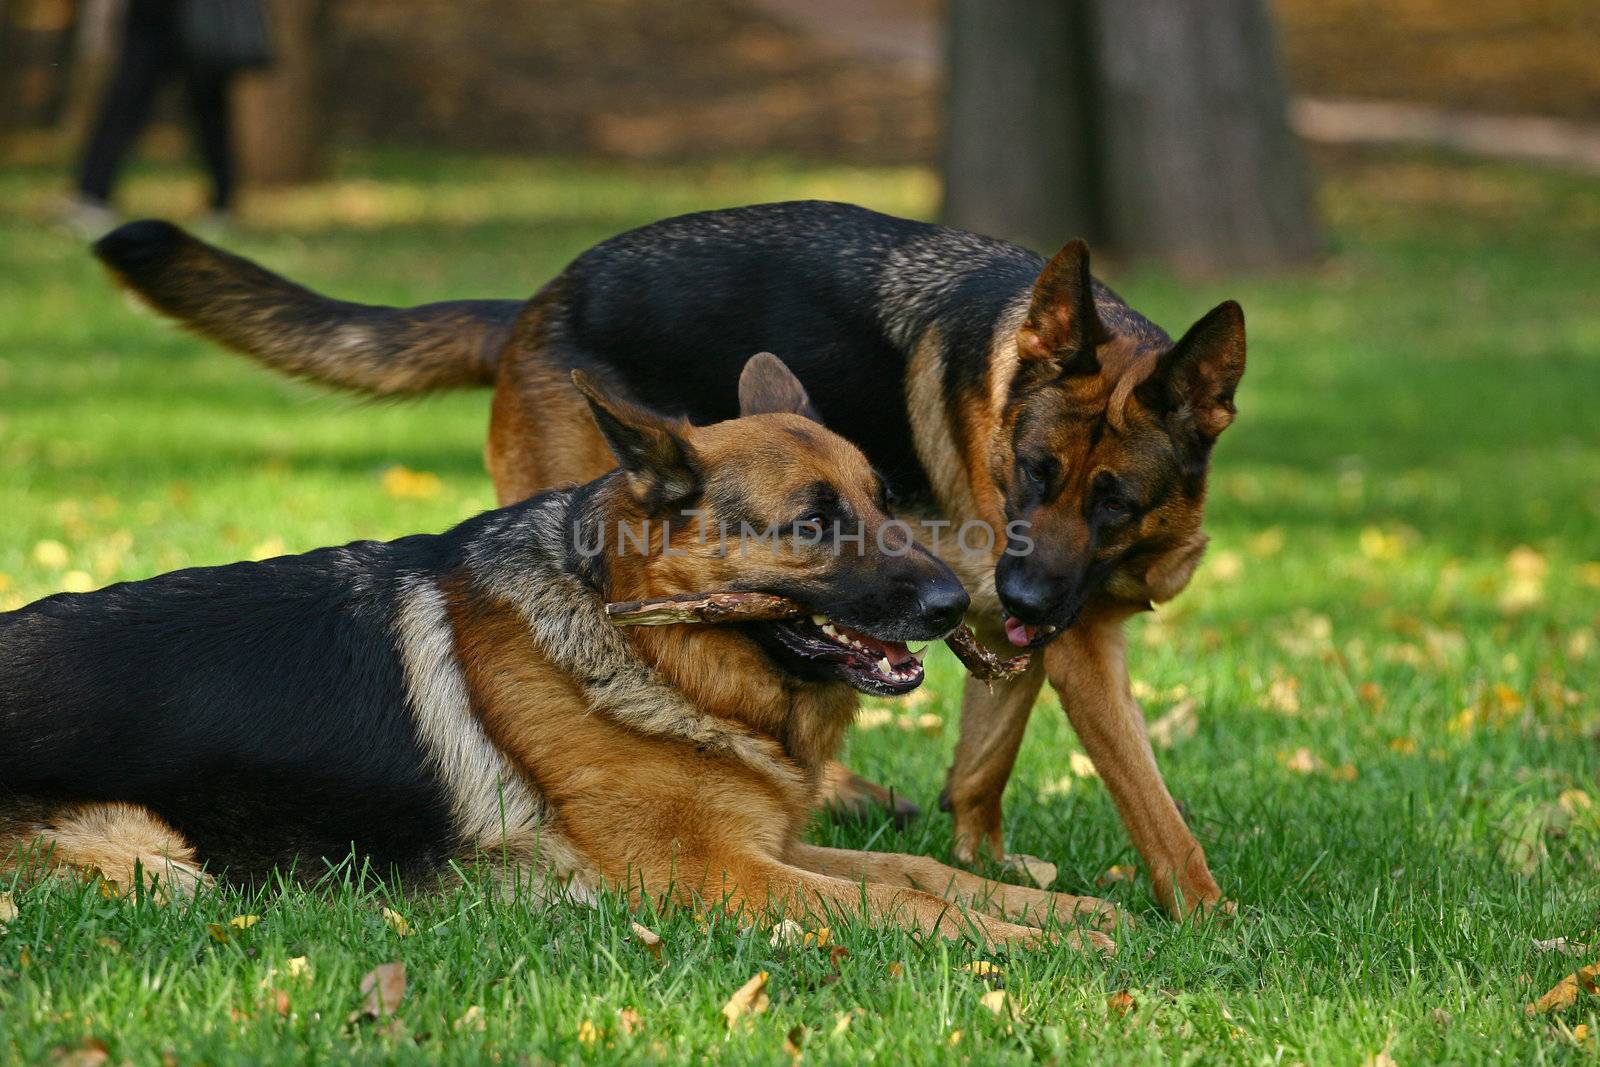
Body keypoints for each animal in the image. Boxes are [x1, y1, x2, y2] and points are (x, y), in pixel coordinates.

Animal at [93, 206, 1241, 921]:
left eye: (1112, 498)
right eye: (1029, 470)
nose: (1006, 591)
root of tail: (529, 306)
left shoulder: (1033, 625)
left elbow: (978, 773)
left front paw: (997, 863)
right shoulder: (1062, 634)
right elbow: (1148, 802)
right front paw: (1208, 915)